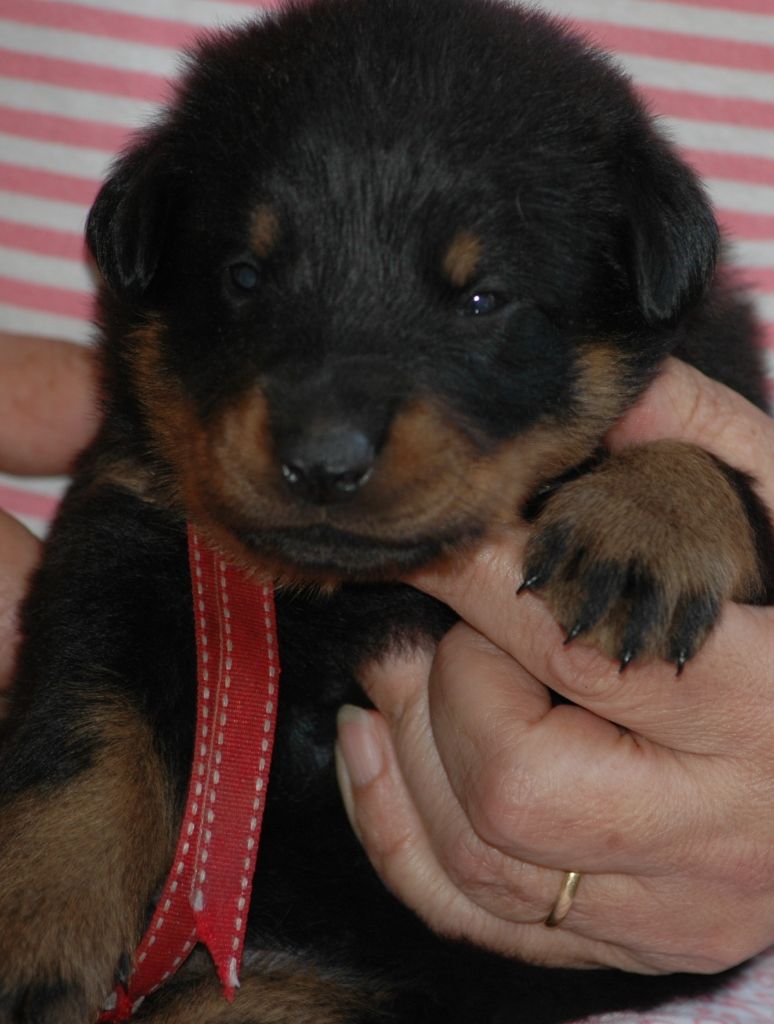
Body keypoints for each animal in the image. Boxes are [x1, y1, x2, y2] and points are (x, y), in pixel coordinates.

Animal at [1, 0, 770, 1021]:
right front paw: (40, 918)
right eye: (245, 276)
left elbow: (721, 464)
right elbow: (80, 733)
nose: (324, 460)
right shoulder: (125, 527)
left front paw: (648, 520)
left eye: (481, 298)